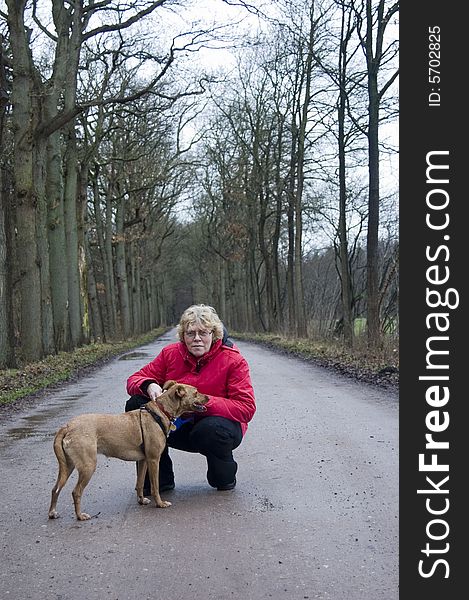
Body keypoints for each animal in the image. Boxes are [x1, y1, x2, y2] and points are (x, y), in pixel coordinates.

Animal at [48, 382, 207, 516]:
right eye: (196, 392)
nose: (209, 397)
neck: (160, 412)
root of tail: (68, 426)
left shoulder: (143, 460)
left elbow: (140, 483)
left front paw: (141, 500)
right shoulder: (153, 460)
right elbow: (155, 487)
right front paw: (160, 503)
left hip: (68, 465)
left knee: (55, 489)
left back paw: (52, 512)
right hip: (88, 466)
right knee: (76, 492)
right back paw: (80, 516)